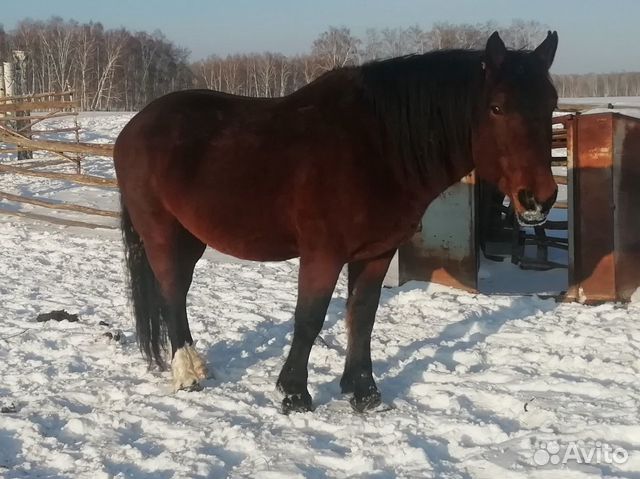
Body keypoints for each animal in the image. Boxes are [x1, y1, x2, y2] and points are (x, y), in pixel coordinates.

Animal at [115, 31, 560, 414]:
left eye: (551, 104)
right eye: (497, 107)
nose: (538, 199)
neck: (378, 148)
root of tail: (134, 127)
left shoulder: (377, 253)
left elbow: (362, 316)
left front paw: (364, 392)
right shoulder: (323, 255)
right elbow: (310, 318)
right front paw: (294, 394)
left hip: (191, 237)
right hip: (161, 232)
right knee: (172, 292)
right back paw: (188, 373)